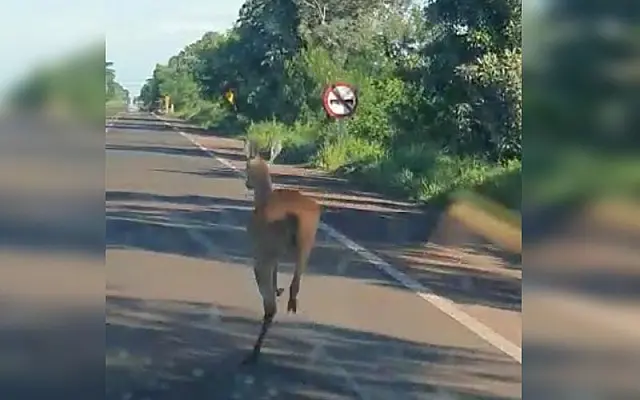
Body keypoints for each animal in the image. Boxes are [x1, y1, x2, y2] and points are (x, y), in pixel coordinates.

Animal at [241, 138, 321, 364]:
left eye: (246, 166)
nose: (247, 183)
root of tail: (295, 217)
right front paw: (279, 289)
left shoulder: (262, 250)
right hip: (306, 246)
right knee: (295, 282)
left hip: (263, 256)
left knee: (270, 306)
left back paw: (254, 353)